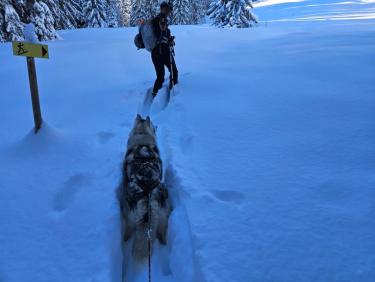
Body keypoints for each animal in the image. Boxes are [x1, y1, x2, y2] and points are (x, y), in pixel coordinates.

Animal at [118, 113, 171, 262]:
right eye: (153, 124)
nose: (156, 125)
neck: (142, 136)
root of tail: (147, 189)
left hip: (128, 212)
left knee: (128, 229)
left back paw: (125, 240)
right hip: (163, 213)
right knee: (162, 231)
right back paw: (163, 243)